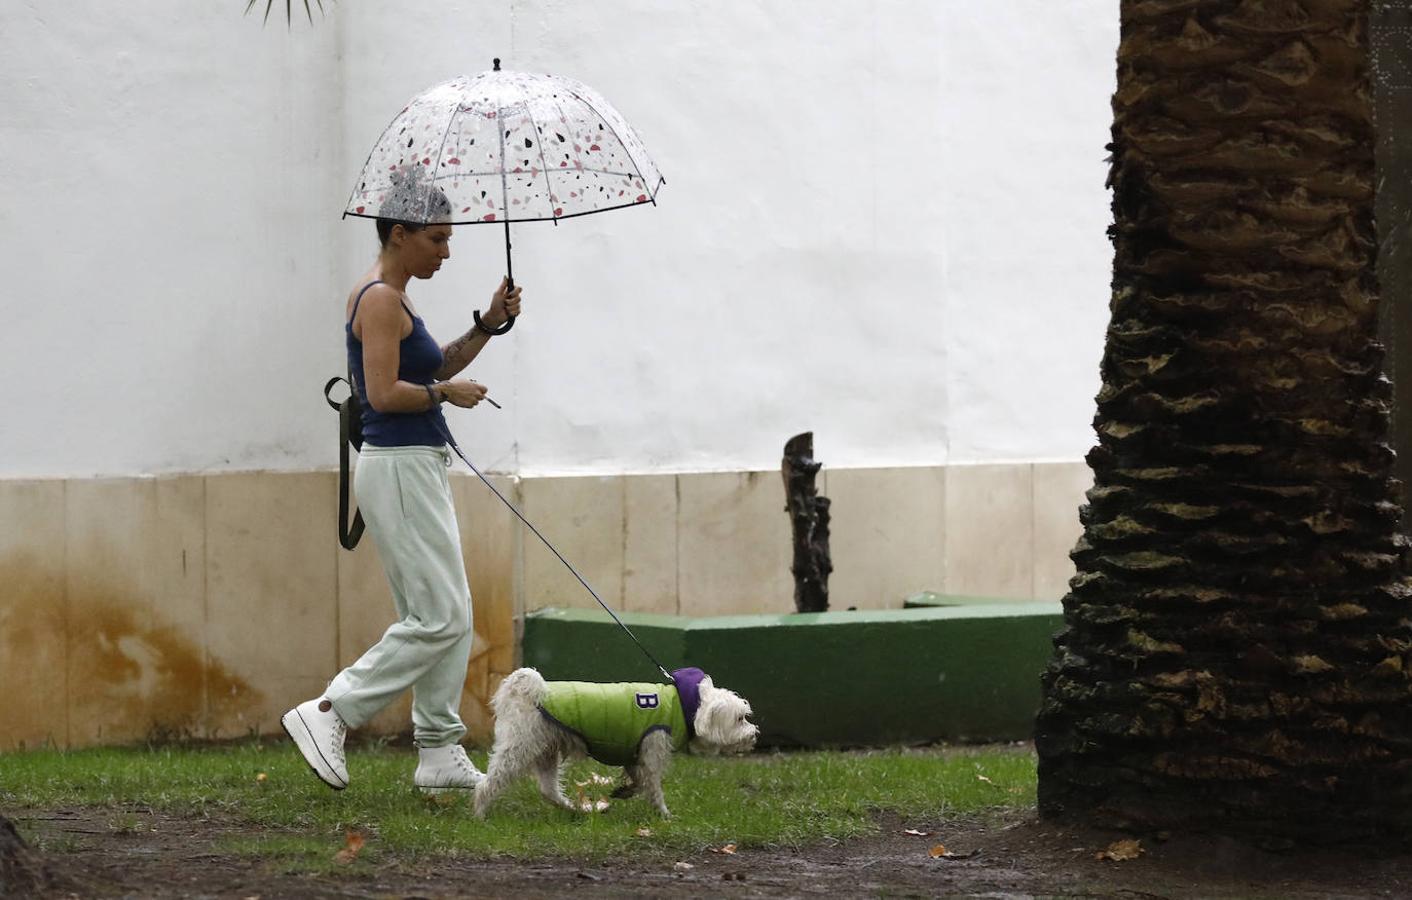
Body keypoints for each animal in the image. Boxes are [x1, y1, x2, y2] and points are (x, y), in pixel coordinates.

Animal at [474, 664, 756, 819]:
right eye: (740, 718)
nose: (754, 734)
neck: (686, 706)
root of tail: (524, 691)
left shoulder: (636, 756)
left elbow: (638, 781)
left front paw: (625, 791)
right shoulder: (652, 749)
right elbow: (653, 786)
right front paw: (664, 814)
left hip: (546, 750)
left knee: (548, 790)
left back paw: (575, 809)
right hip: (519, 748)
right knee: (489, 783)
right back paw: (479, 814)